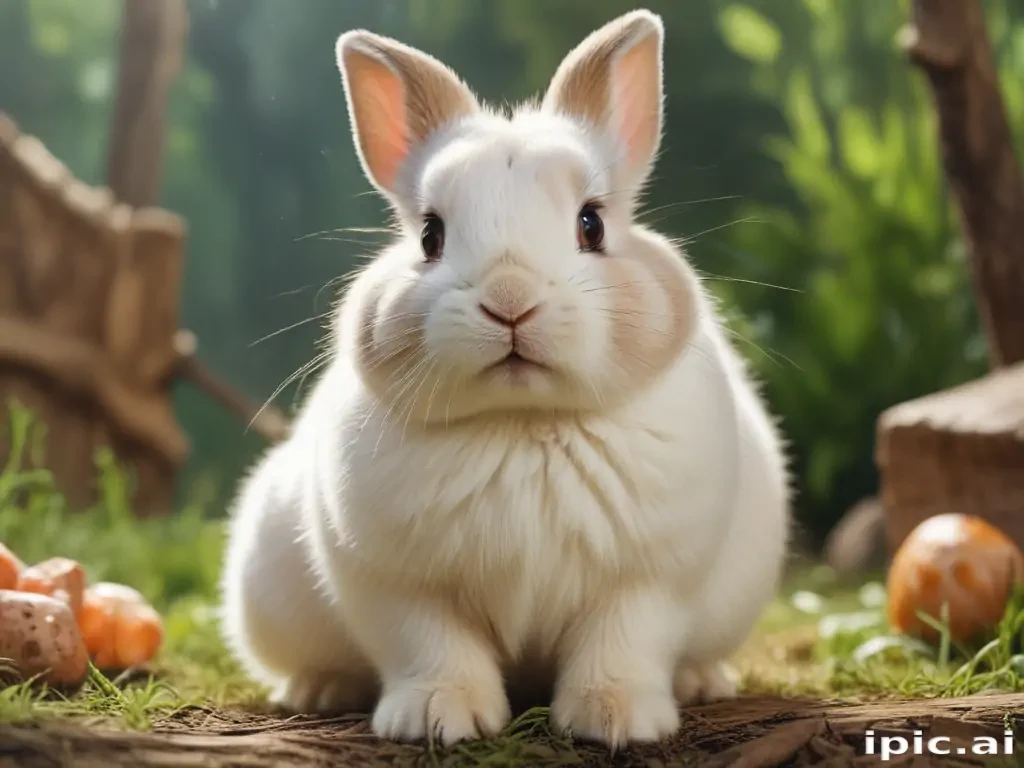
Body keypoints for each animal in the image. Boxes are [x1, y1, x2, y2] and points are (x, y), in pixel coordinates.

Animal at [220, 8, 790, 750]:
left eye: (591, 223)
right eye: (430, 235)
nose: (510, 299)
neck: (525, 424)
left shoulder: (650, 583)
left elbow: (622, 645)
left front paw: (616, 719)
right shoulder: (399, 586)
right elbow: (431, 647)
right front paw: (438, 718)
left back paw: (701, 682)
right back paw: (317, 690)